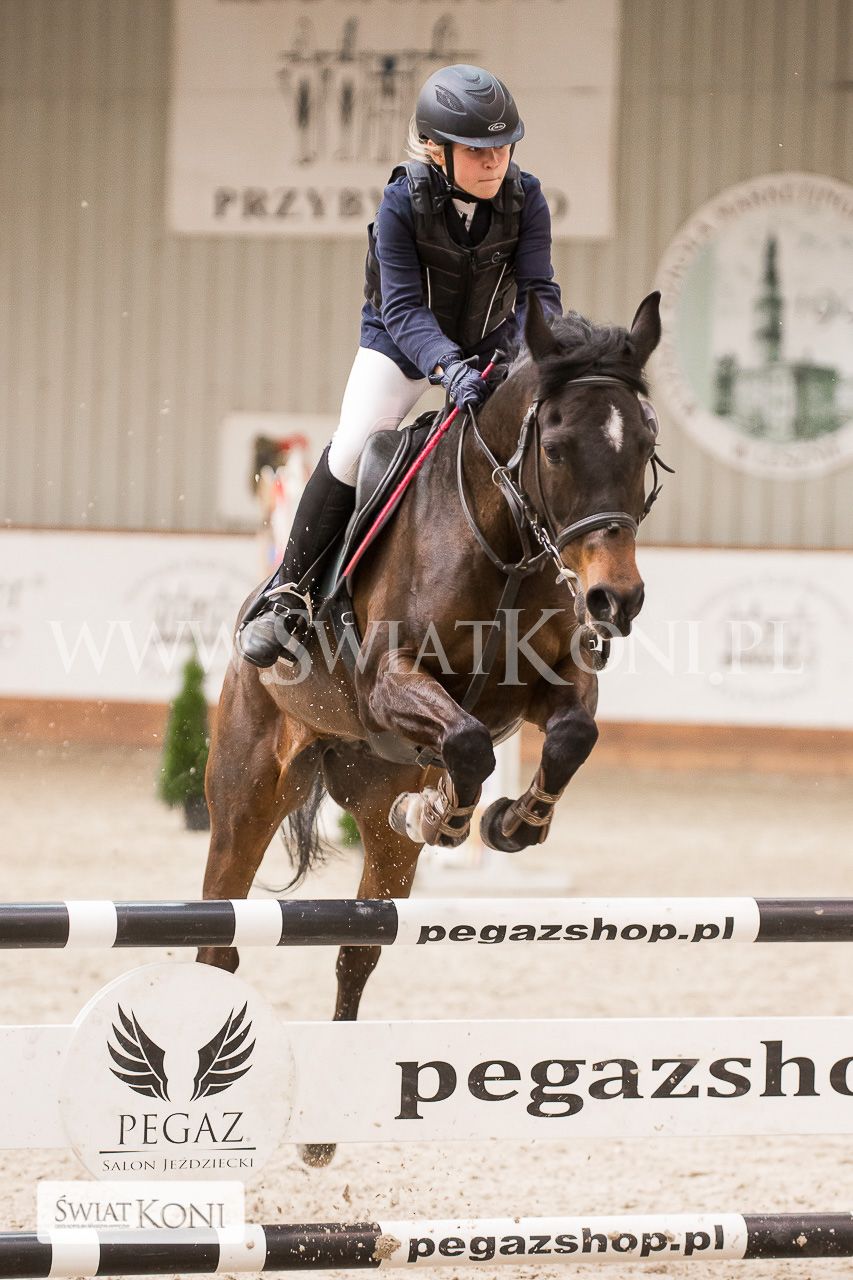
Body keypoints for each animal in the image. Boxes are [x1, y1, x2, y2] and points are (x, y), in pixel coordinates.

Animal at [199, 291, 666, 1160]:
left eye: (646, 446)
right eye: (555, 449)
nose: (614, 600)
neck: (507, 539)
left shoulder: (551, 681)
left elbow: (567, 738)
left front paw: (512, 822)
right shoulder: (390, 681)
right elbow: (468, 741)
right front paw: (448, 814)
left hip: (376, 828)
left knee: (355, 950)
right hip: (246, 794)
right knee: (219, 939)